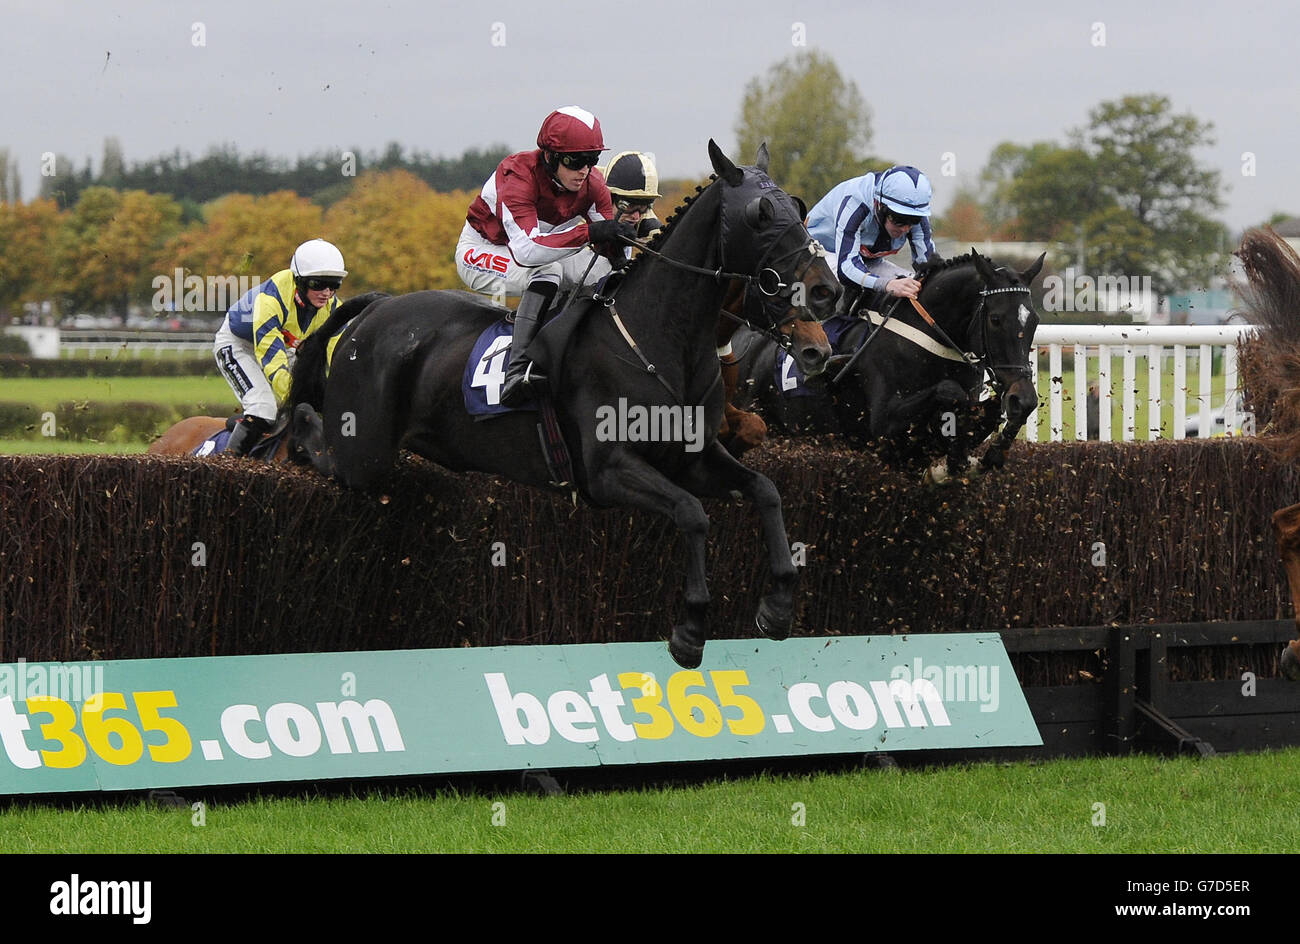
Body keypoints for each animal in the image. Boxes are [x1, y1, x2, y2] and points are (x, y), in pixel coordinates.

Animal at [733, 250, 1045, 481]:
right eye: (995, 319)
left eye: (1034, 321)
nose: (1023, 396)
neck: (928, 338)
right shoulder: (884, 429)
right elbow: (948, 391)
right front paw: (951, 462)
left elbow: (989, 413)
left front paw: (990, 454)